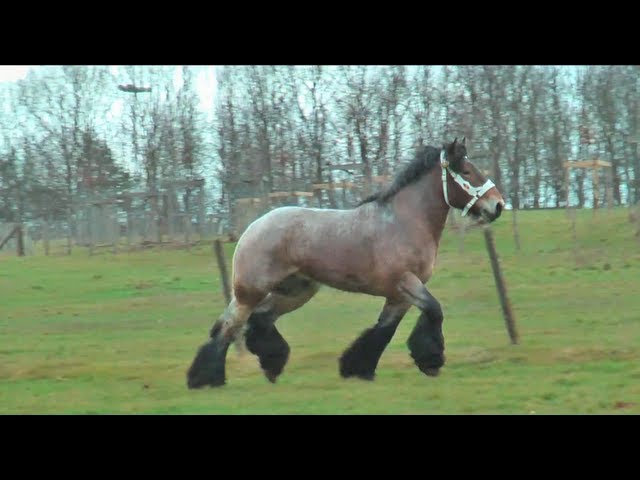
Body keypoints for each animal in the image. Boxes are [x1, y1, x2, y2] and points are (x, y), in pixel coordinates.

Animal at [187, 137, 505, 388]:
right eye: (467, 171)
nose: (498, 205)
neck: (403, 222)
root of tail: (253, 227)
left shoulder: (399, 295)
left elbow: (383, 330)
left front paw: (358, 369)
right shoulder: (406, 283)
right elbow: (434, 312)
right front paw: (431, 362)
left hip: (296, 291)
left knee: (261, 318)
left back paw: (271, 366)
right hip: (250, 292)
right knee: (227, 327)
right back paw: (206, 380)